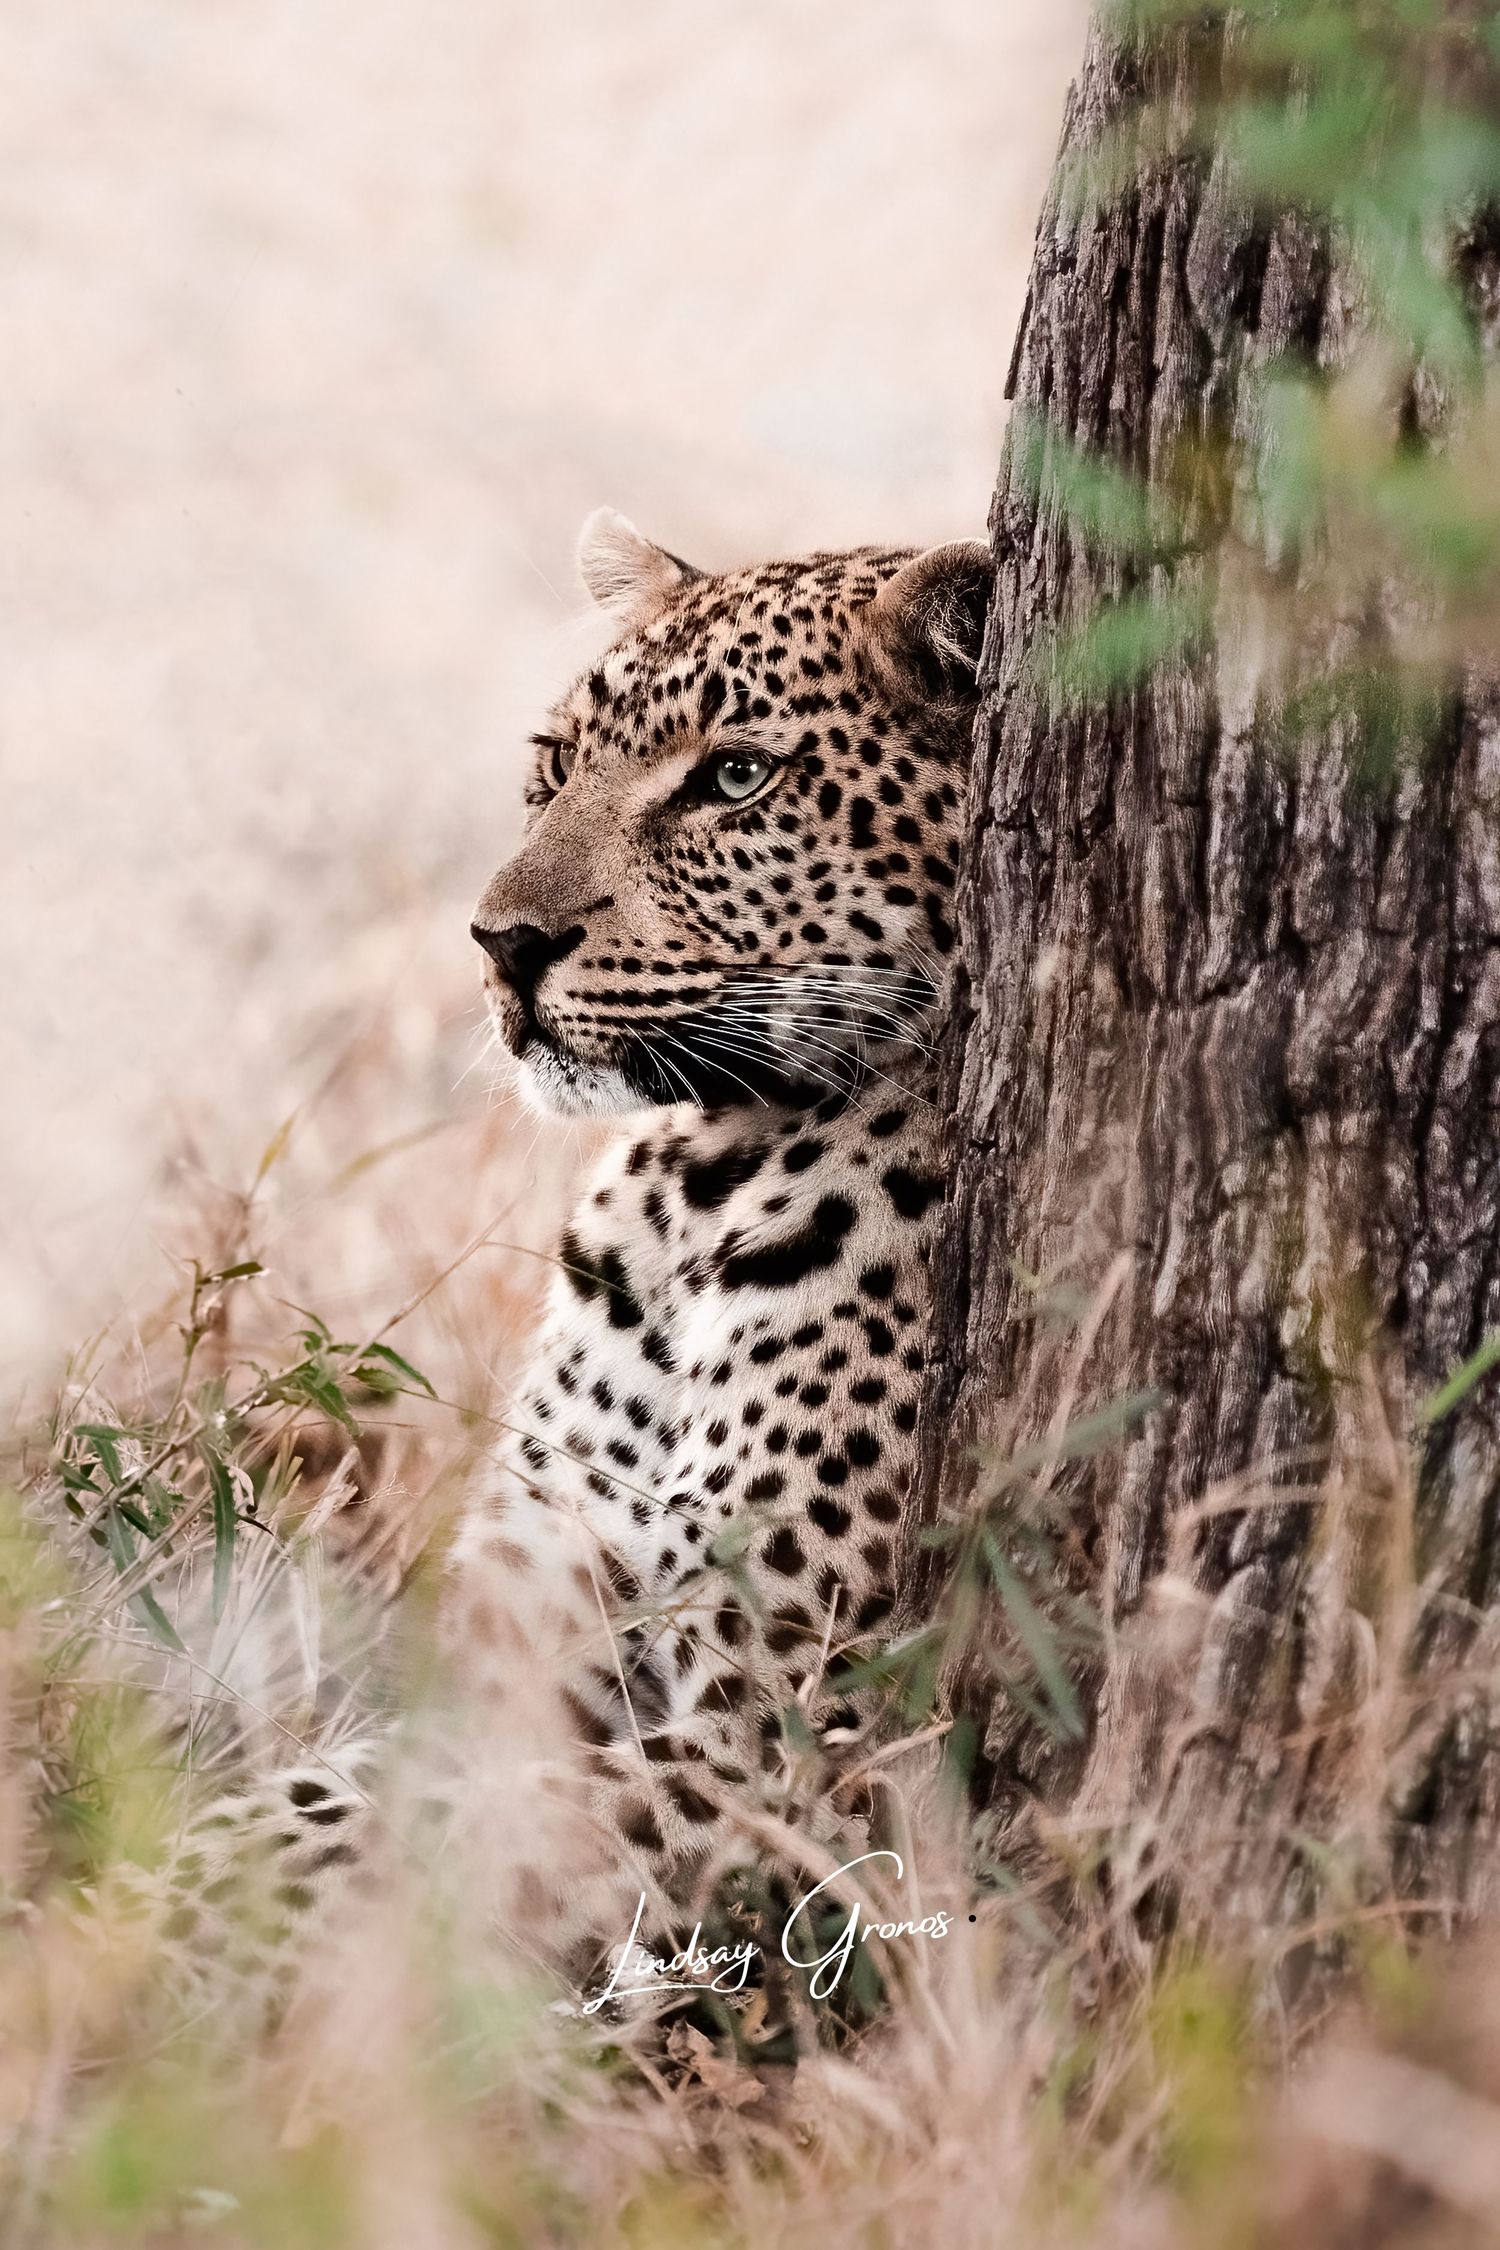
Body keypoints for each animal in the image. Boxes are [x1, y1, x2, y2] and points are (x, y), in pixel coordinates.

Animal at [143, 510, 993, 2004]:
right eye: (552, 764)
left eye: (735, 777)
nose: (501, 942)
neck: (703, 1181)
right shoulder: (522, 1643)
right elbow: (349, 1784)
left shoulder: (786, 1732)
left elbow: (411, 1823)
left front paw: (135, 1930)